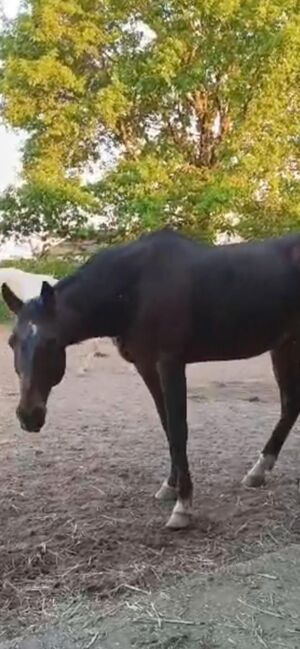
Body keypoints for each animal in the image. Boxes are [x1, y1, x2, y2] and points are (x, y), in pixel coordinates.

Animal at [2, 228, 300, 528]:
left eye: (51, 342)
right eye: (11, 342)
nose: (28, 416)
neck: (135, 288)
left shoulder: (170, 363)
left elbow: (178, 429)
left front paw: (183, 506)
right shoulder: (147, 367)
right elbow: (166, 425)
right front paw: (170, 486)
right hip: (284, 346)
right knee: (290, 406)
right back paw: (258, 471)